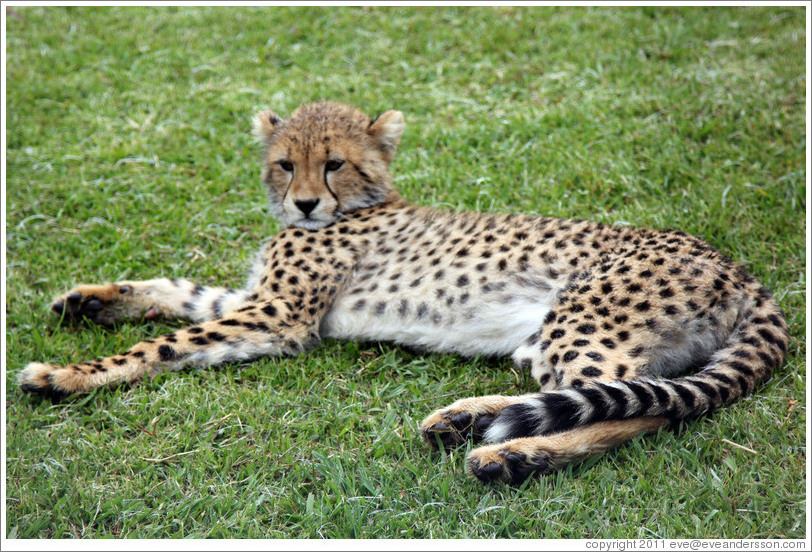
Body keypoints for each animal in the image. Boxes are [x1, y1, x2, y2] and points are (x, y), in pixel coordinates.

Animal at [19, 100, 788, 484]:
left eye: (333, 164)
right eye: (285, 164)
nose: (303, 204)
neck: (356, 206)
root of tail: (737, 267)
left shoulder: (279, 316)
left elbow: (163, 342)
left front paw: (64, 374)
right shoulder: (257, 303)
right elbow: (180, 291)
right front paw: (91, 299)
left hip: (581, 319)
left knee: (636, 409)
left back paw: (510, 455)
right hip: (549, 337)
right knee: (607, 393)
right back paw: (466, 421)